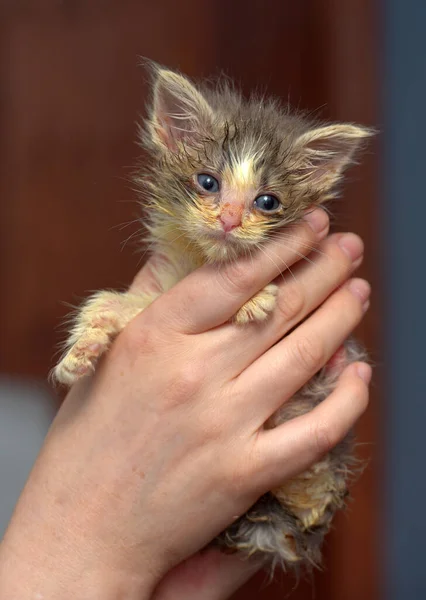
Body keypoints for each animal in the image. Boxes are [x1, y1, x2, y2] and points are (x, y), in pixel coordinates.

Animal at [53, 63, 372, 568]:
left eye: (267, 202)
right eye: (207, 182)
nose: (229, 219)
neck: (205, 261)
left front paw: (253, 298)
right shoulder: (163, 288)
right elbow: (112, 304)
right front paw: (84, 345)